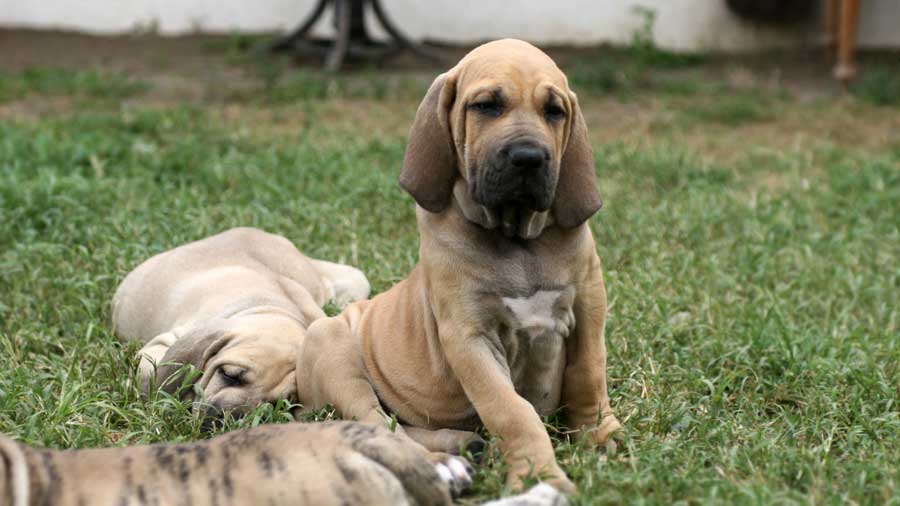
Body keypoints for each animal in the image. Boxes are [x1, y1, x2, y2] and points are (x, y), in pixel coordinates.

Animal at [298, 39, 624, 490]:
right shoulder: (470, 337)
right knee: (378, 424)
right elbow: (512, 410)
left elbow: (589, 373)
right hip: (330, 346)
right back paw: (445, 462)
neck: (517, 239)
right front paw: (538, 476)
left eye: (554, 111)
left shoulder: (589, 303)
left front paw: (598, 434)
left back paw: (464, 444)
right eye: (486, 106)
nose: (529, 157)